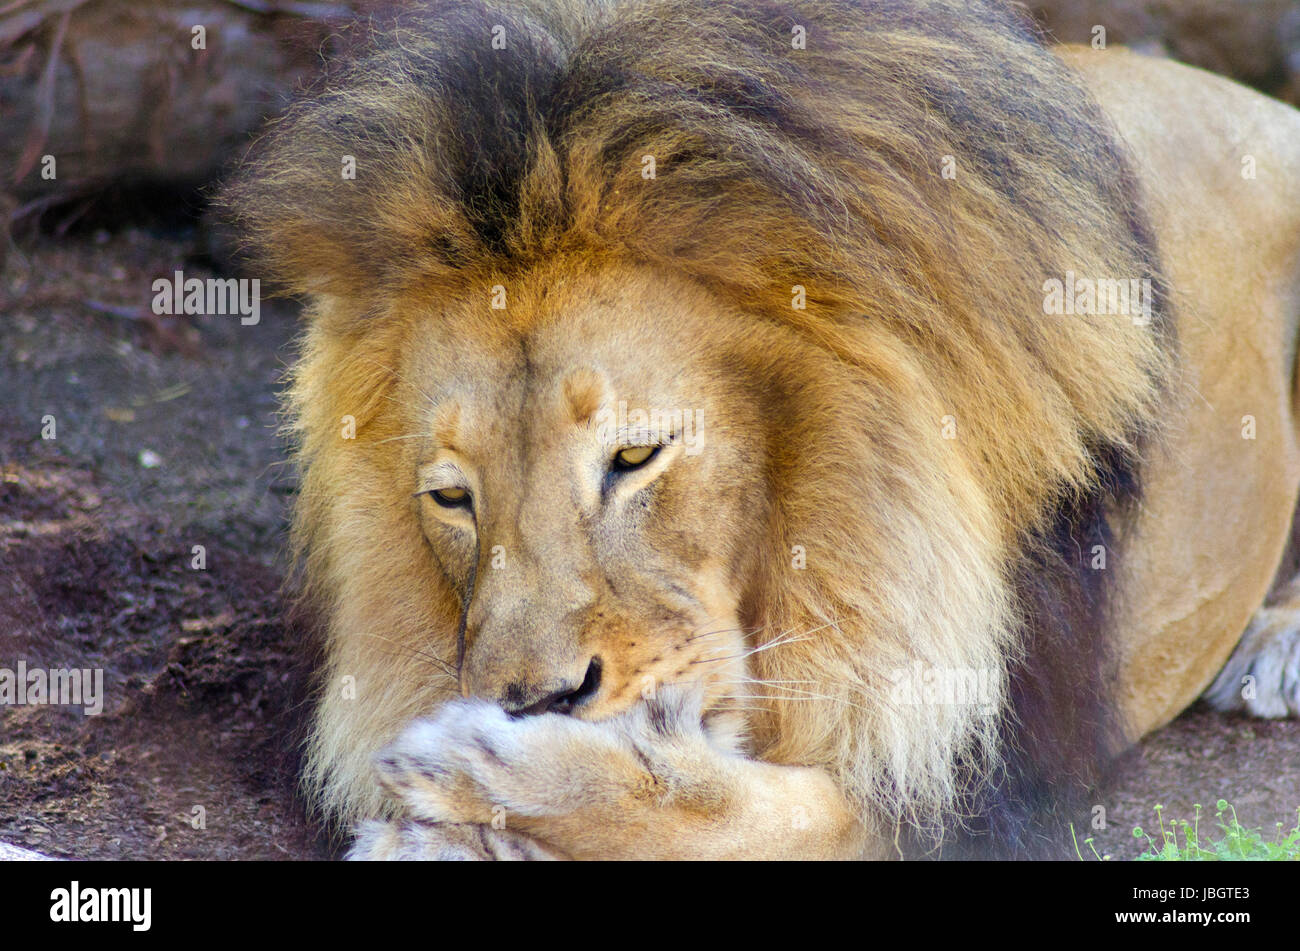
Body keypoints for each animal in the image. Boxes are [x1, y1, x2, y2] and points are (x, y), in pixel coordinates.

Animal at [220, 0, 1300, 862]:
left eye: (634, 456)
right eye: (451, 498)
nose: (536, 702)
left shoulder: (973, 783)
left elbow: (750, 813)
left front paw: (487, 773)